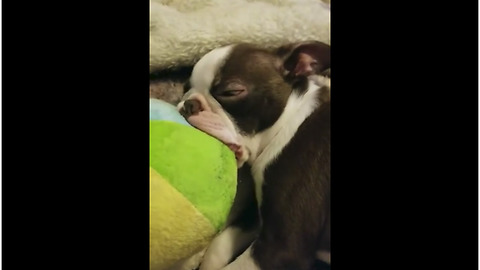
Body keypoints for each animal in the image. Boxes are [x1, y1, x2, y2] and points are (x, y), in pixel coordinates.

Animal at [176, 40, 330, 270]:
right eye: (185, 89)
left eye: (231, 91)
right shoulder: (260, 214)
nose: (188, 104)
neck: (289, 122)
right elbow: (219, 245)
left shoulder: (280, 249)